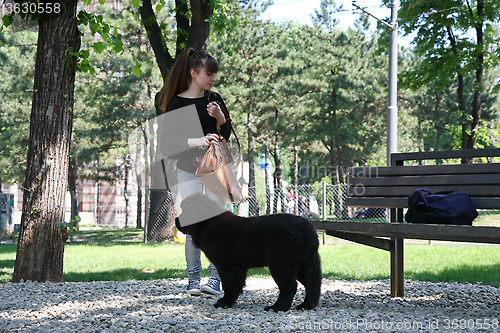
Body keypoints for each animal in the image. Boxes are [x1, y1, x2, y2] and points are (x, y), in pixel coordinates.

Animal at [178, 192, 322, 312]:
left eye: (186, 211)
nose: (175, 220)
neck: (208, 223)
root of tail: (307, 227)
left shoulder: (227, 266)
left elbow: (229, 285)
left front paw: (224, 303)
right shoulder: (238, 267)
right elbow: (236, 286)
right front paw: (229, 302)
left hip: (280, 263)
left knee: (290, 287)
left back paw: (277, 307)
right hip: (302, 263)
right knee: (311, 283)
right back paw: (306, 305)